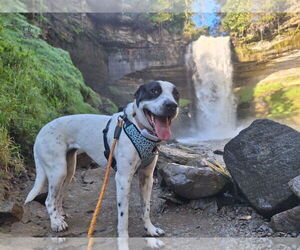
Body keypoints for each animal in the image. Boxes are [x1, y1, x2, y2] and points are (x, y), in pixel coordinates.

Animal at [24, 80, 179, 238]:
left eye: (176, 94)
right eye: (154, 91)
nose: (172, 105)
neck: (138, 127)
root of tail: (41, 131)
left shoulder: (147, 178)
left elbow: (146, 208)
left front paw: (150, 229)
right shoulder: (123, 179)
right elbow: (123, 215)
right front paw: (123, 238)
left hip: (68, 170)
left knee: (59, 196)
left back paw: (59, 216)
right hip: (58, 171)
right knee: (49, 200)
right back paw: (56, 223)